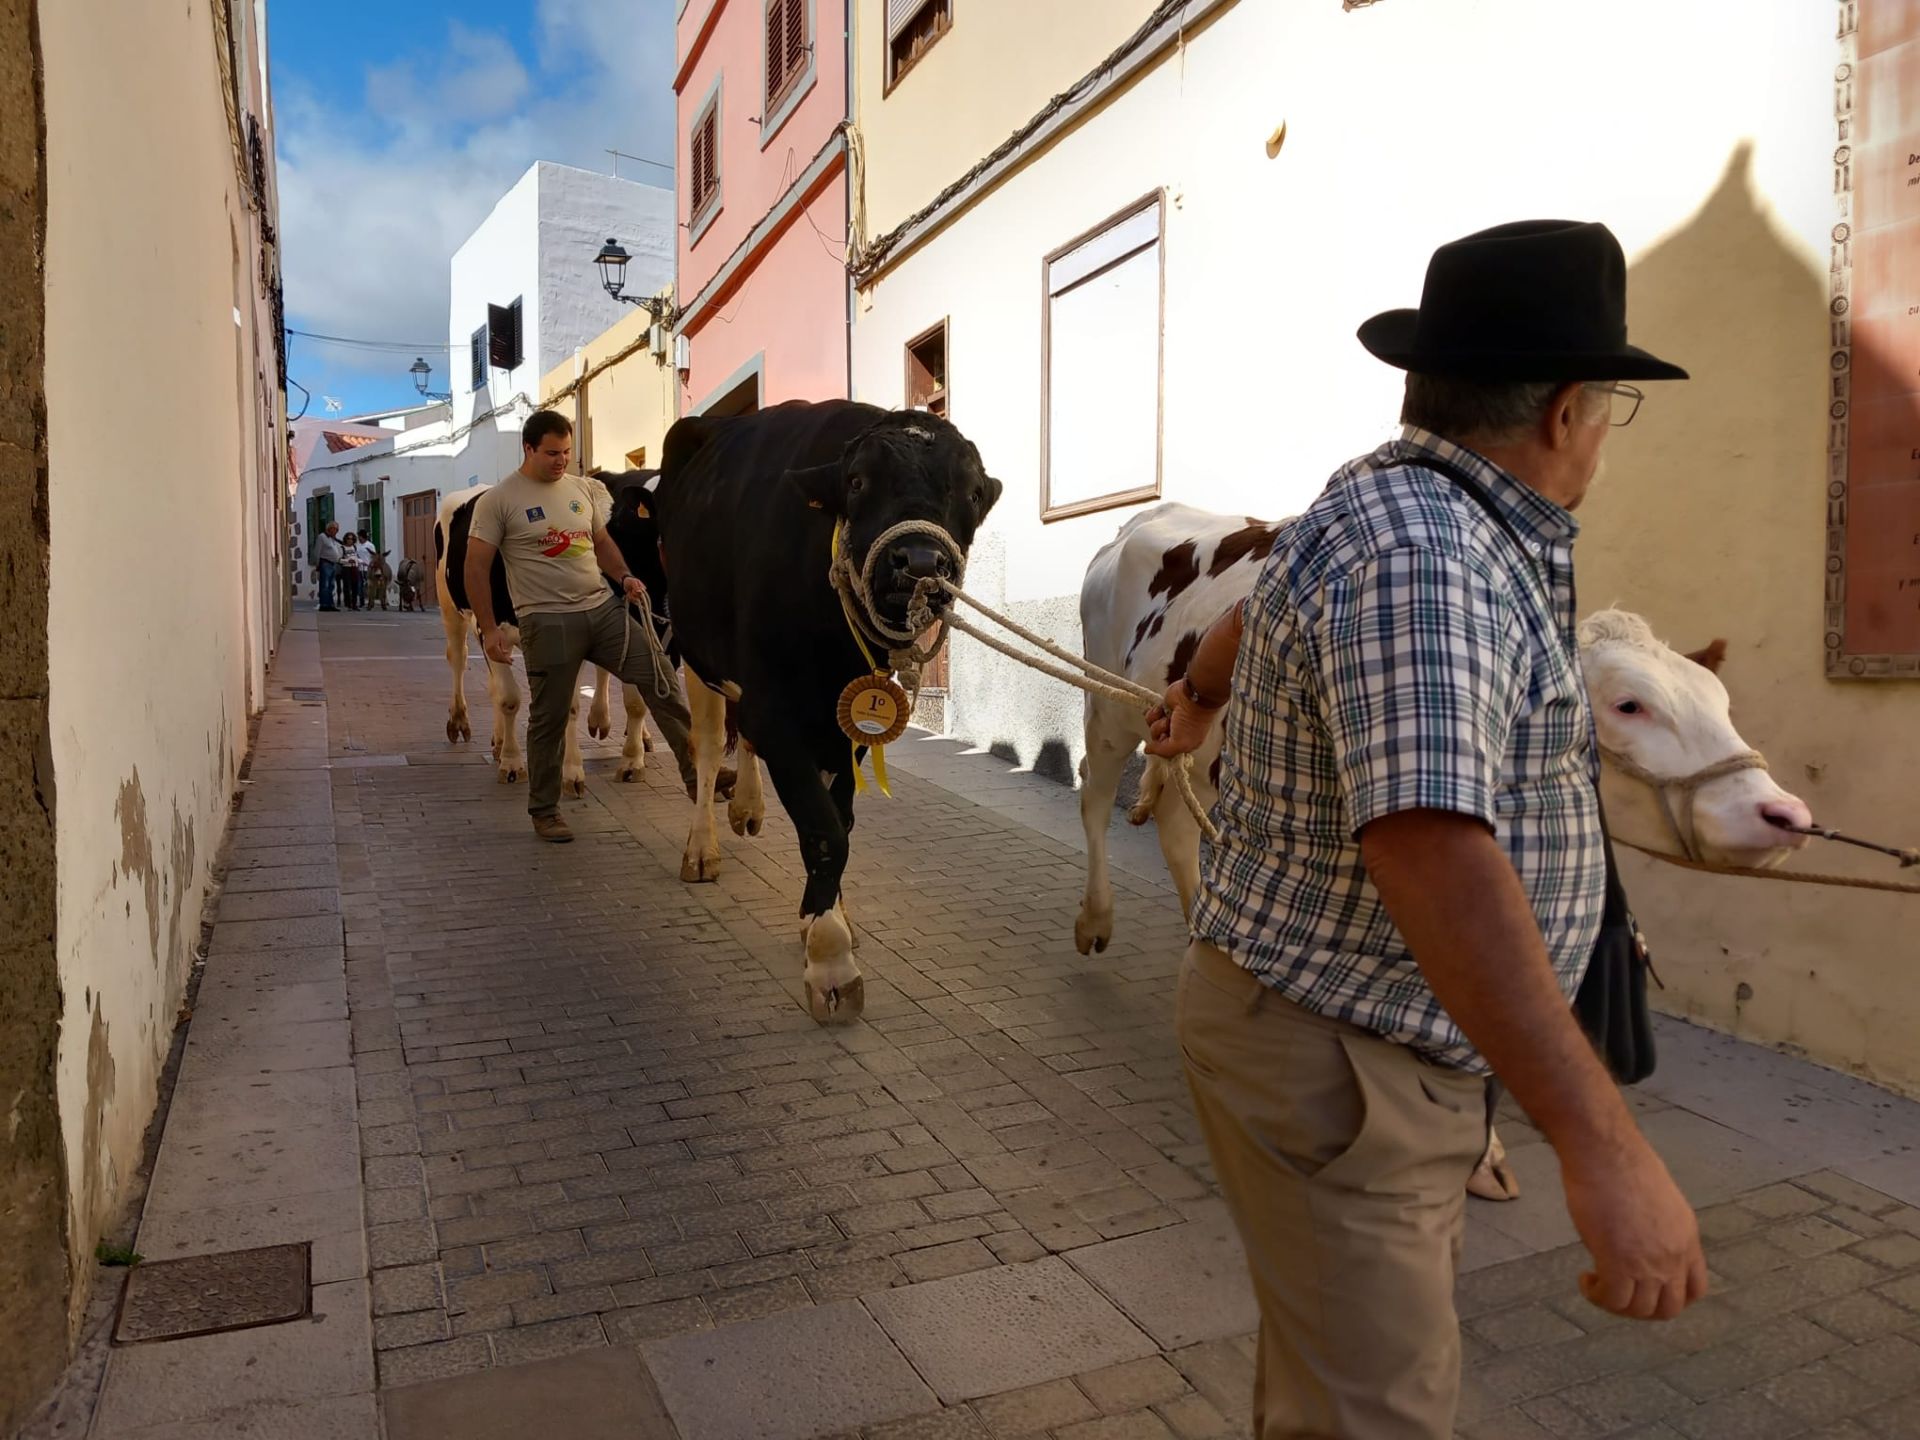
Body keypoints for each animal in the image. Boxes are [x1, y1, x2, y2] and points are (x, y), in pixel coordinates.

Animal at [652, 401, 1006, 1021]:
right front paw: (830, 959)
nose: (919, 561)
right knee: (708, 743)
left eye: (969, 491)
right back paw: (702, 848)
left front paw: (828, 913)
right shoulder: (778, 711)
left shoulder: (850, 721)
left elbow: (839, 817)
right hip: (697, 651)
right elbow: (823, 831)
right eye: (859, 481)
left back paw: (747, 808)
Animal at [1082, 506, 1812, 1205]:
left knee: (1176, 823)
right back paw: (1096, 920)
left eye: (1721, 702)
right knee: (1095, 796)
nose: (1780, 814)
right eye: (1629, 705)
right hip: (1108, 709)